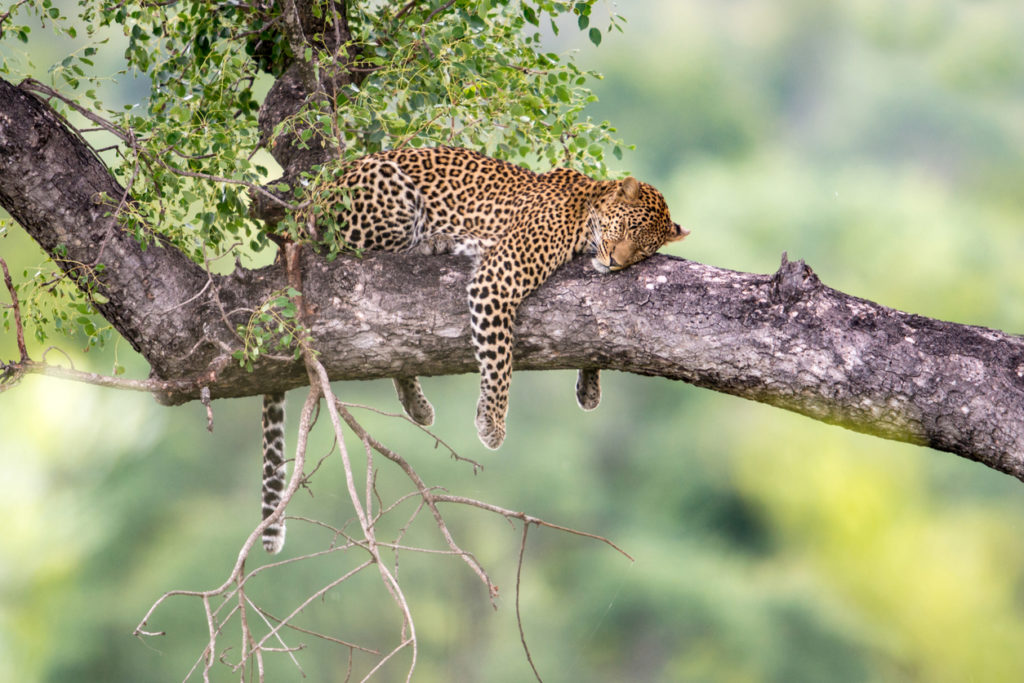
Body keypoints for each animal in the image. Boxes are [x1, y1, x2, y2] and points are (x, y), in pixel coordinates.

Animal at [256, 147, 688, 552]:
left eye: (644, 251)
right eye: (628, 227)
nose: (615, 263)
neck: (587, 210)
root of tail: (318, 192)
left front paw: (589, 386)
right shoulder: (497, 279)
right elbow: (499, 357)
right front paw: (492, 424)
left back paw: (416, 403)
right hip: (384, 198)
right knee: (361, 253)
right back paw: (435, 241)